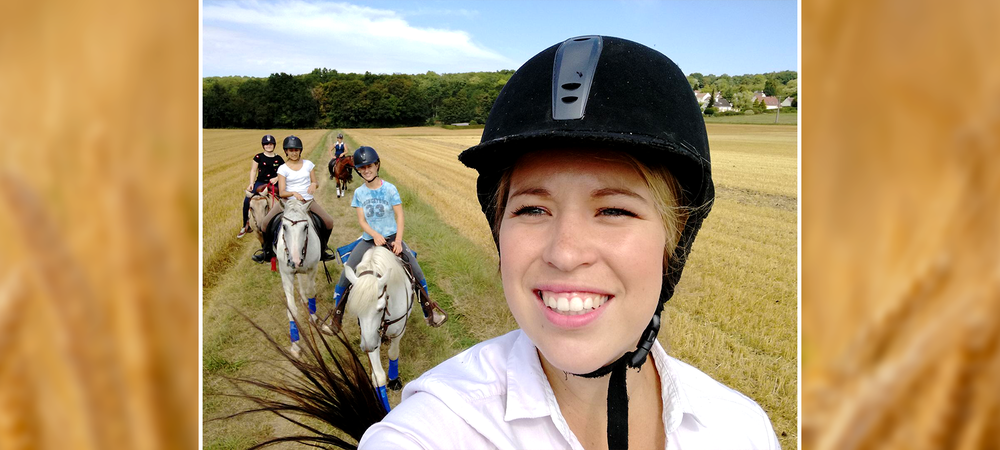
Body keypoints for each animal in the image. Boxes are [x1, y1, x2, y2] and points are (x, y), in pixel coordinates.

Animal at [274, 199, 332, 356]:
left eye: (305, 227)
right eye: (284, 227)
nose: (295, 260)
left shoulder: (312, 269)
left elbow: (311, 291)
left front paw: (313, 317)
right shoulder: (286, 275)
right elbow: (291, 309)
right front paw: (295, 345)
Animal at [340, 244, 410, 414]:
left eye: (380, 308)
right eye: (357, 311)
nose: (367, 347)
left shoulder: (399, 331)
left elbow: (393, 353)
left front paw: (394, 380)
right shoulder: (369, 335)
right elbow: (378, 377)